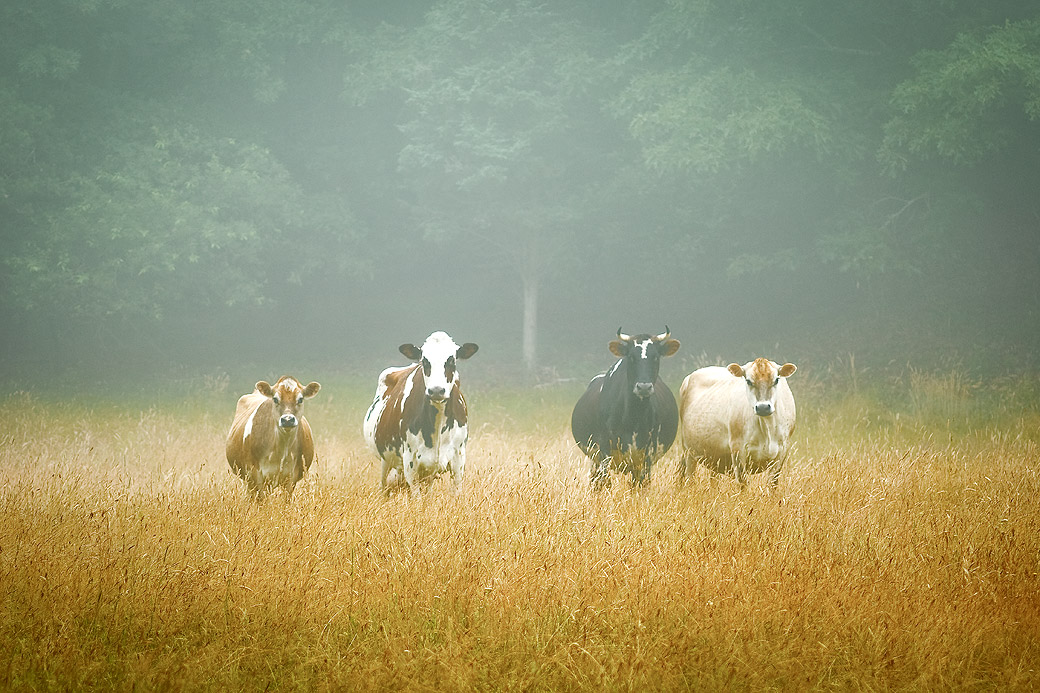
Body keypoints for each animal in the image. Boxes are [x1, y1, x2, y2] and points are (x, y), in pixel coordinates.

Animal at [363, 331, 478, 495]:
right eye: (425, 361)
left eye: (452, 361)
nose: (436, 390)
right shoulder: (410, 463)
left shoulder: (458, 459)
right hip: (386, 460)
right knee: (383, 485)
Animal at [570, 328, 681, 487]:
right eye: (631, 357)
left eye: (655, 357)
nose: (644, 387)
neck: (634, 416)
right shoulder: (604, 450)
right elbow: (605, 481)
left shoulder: (648, 454)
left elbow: (642, 483)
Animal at [679, 358, 797, 489]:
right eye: (748, 381)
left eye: (776, 380)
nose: (763, 407)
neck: (767, 428)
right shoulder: (737, 449)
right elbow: (743, 483)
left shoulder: (782, 450)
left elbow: (772, 484)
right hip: (688, 450)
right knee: (689, 478)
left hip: (715, 454)